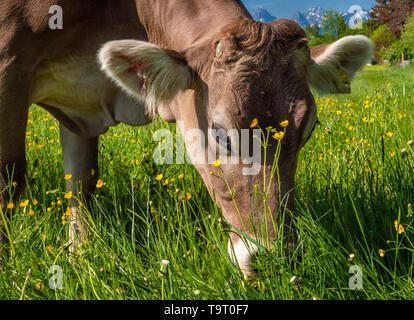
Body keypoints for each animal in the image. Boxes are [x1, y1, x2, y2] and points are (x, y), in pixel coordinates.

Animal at [0, 0, 372, 276]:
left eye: (308, 129)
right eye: (220, 133)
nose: (273, 259)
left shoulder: (82, 112)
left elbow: (81, 184)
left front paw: (79, 257)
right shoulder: (9, 63)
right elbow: (10, 179)